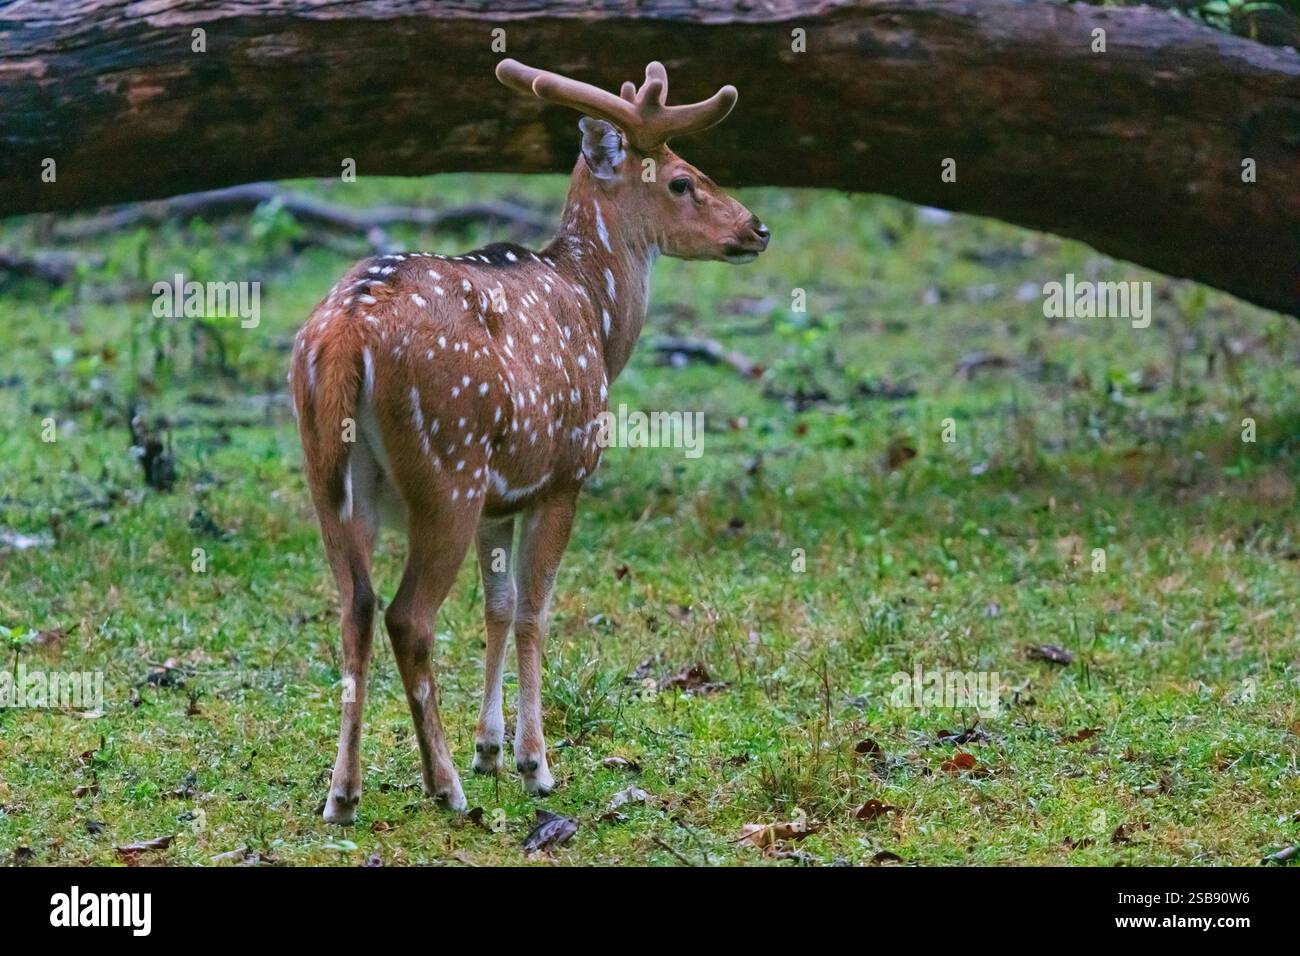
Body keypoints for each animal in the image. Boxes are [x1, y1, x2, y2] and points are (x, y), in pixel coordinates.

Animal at [290, 58, 769, 824]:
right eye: (681, 179)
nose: (758, 228)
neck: (597, 312)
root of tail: (345, 335)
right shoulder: (565, 474)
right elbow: (534, 612)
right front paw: (533, 763)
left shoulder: (500, 498)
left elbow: (497, 604)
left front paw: (489, 748)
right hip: (447, 467)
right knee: (407, 616)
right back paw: (443, 786)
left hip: (329, 474)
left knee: (355, 607)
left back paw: (343, 792)